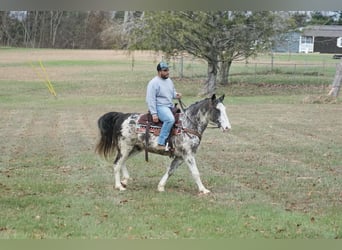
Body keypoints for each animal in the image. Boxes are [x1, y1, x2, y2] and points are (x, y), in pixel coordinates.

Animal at [95, 94, 231, 193]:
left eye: (225, 109)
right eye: (217, 109)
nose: (227, 127)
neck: (187, 125)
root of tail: (122, 116)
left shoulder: (180, 157)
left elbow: (170, 170)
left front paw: (160, 186)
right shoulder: (188, 155)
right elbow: (195, 172)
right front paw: (204, 190)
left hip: (135, 148)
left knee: (122, 162)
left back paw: (125, 180)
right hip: (125, 147)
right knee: (117, 163)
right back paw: (119, 186)